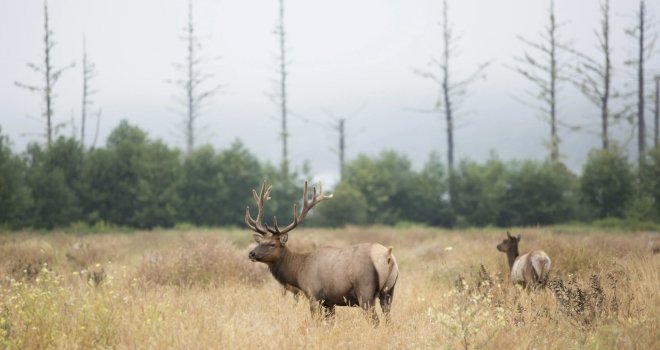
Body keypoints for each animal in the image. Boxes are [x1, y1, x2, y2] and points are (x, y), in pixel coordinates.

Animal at [244, 182, 394, 324]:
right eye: (260, 242)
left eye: (272, 244)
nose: (251, 254)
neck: (298, 271)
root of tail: (388, 255)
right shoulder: (330, 301)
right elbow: (330, 322)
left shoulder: (313, 294)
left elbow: (316, 320)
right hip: (389, 292)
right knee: (388, 319)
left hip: (365, 291)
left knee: (375, 320)